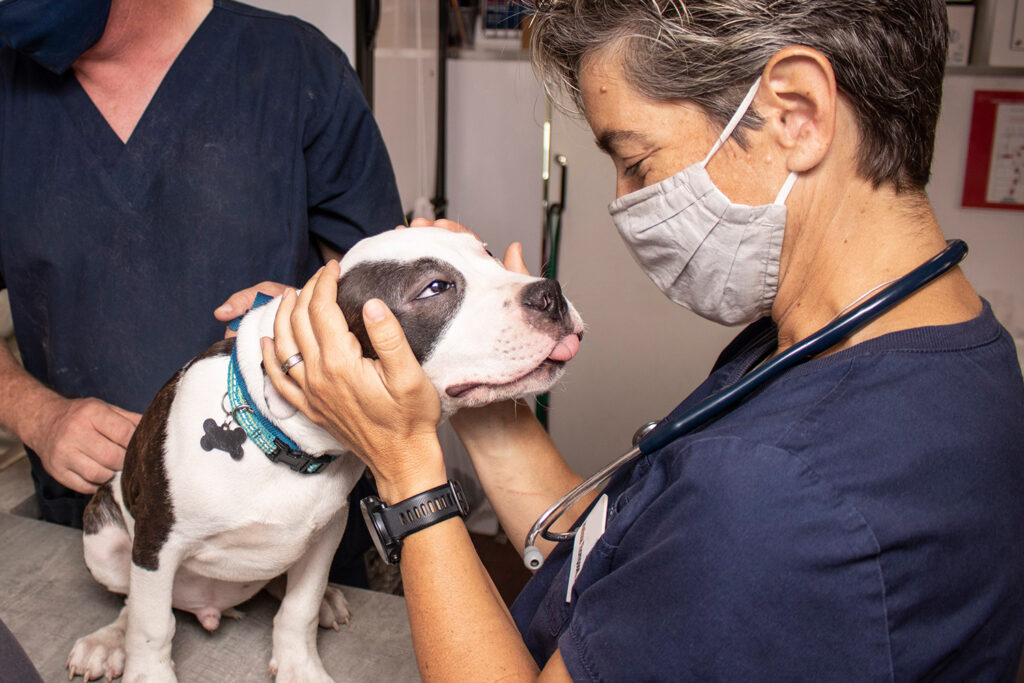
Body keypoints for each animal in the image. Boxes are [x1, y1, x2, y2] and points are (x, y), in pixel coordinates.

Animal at [66, 227, 585, 679]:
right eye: (435, 288)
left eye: (490, 256)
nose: (551, 293)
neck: (279, 445)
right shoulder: (157, 540)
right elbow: (153, 625)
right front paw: (146, 673)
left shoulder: (325, 537)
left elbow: (298, 608)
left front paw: (300, 667)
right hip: (105, 537)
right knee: (133, 601)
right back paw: (108, 641)